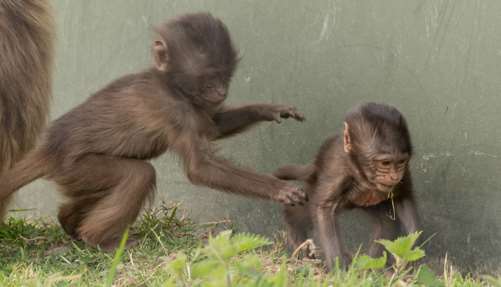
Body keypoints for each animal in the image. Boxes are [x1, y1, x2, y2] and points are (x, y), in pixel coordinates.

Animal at [0, 12, 304, 250]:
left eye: (225, 76)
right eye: (209, 79)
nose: (220, 91)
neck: (170, 84)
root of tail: (50, 148)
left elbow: (213, 127)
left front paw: (267, 110)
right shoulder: (173, 108)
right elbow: (200, 168)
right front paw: (279, 188)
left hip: (74, 176)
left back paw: (69, 221)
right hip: (76, 166)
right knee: (139, 175)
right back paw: (101, 240)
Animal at [274, 103, 418, 270]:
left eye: (401, 162)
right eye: (385, 163)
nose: (394, 177)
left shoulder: (404, 172)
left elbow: (403, 197)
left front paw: (411, 251)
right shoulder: (338, 169)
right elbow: (324, 209)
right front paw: (338, 268)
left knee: (386, 225)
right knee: (299, 214)